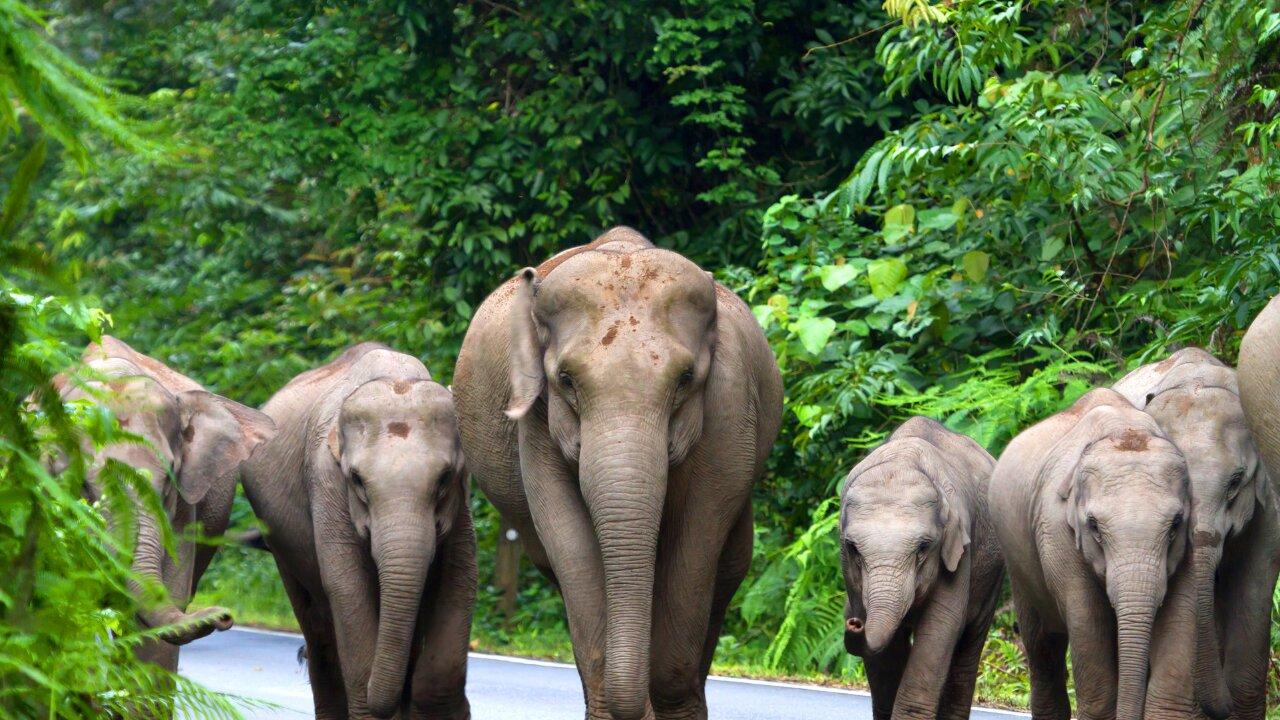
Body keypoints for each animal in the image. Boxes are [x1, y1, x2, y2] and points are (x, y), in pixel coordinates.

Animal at [241, 343, 475, 720]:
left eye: (444, 478)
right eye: (357, 480)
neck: (396, 377)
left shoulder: (462, 506)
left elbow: (460, 580)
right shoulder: (325, 482)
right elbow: (347, 587)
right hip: (280, 544)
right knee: (319, 633)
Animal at [453, 226, 783, 720]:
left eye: (685, 379)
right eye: (566, 380)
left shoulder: (730, 406)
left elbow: (698, 532)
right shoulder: (537, 424)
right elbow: (568, 538)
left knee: (727, 570)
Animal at [839, 417, 1003, 720]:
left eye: (924, 547)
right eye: (853, 548)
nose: (854, 622)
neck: (901, 460)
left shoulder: (960, 551)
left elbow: (941, 625)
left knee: (968, 647)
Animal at [989, 389, 1190, 720]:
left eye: (1175, 524)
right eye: (1093, 525)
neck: (1124, 429)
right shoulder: (1054, 526)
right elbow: (1086, 616)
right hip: (1017, 560)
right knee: (1042, 645)